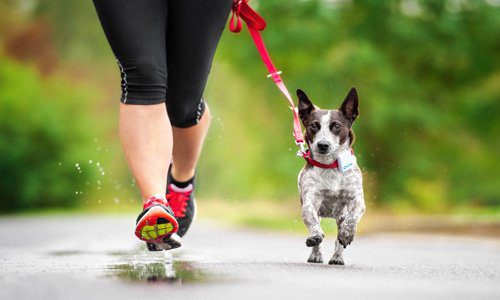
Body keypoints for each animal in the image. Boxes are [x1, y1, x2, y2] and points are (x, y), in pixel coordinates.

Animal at [294, 86, 366, 264]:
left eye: (337, 126)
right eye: (314, 126)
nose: (323, 145)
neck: (330, 166)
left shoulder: (357, 200)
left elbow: (352, 218)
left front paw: (346, 234)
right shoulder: (310, 202)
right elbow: (313, 222)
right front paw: (315, 236)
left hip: (340, 216)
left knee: (338, 240)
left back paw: (337, 257)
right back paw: (316, 254)